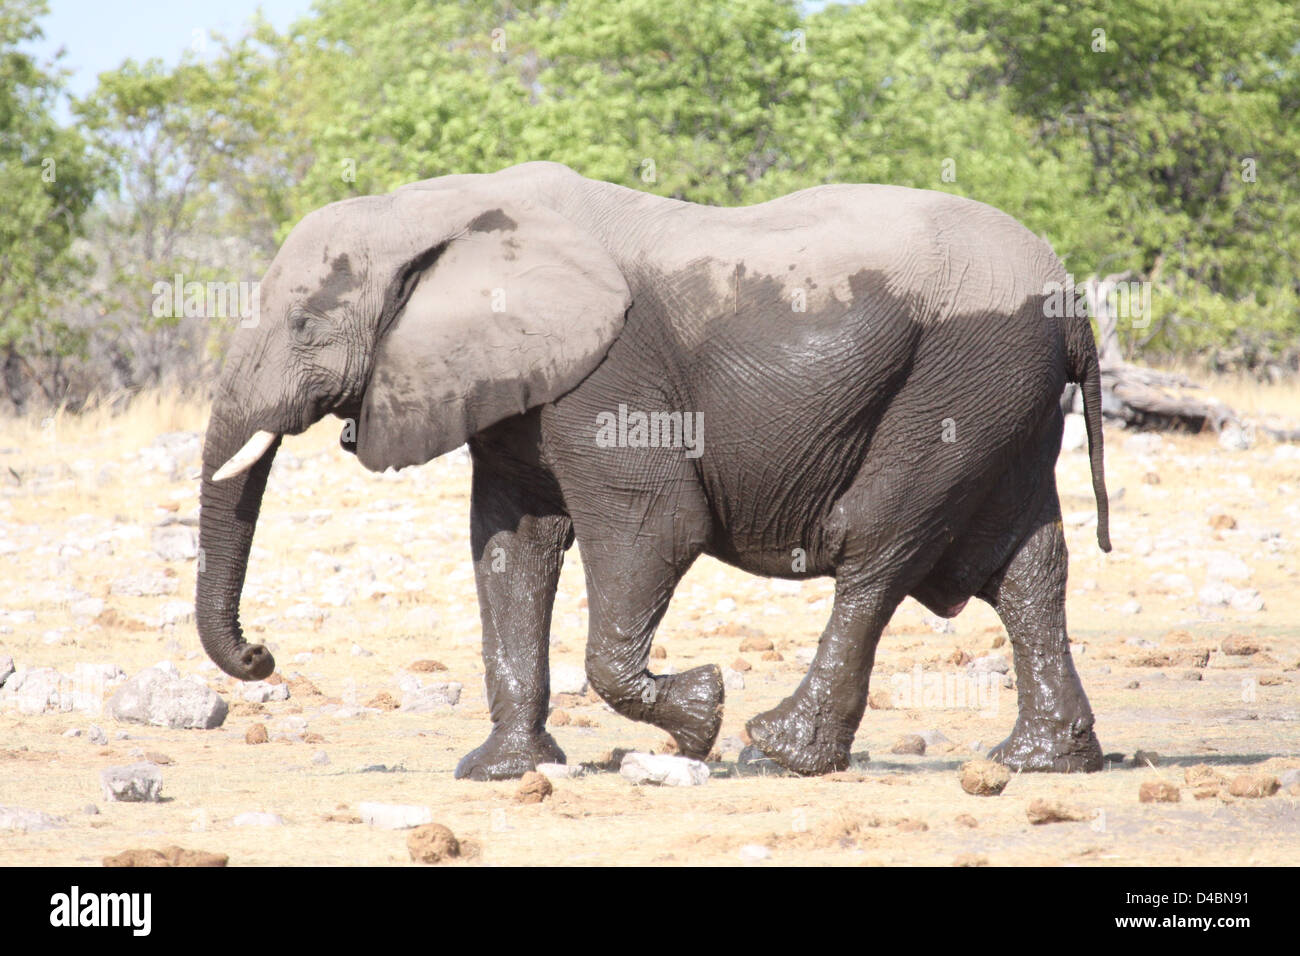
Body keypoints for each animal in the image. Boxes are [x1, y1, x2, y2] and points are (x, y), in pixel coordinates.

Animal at [197, 160, 1112, 780]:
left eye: (306, 323)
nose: (263, 656)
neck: (438, 208)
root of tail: (1074, 305)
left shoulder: (610, 378)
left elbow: (656, 526)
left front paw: (701, 715)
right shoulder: (520, 386)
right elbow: (511, 549)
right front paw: (501, 771)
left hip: (960, 380)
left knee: (877, 546)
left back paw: (775, 749)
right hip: (1007, 400)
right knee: (1027, 568)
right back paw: (1042, 760)